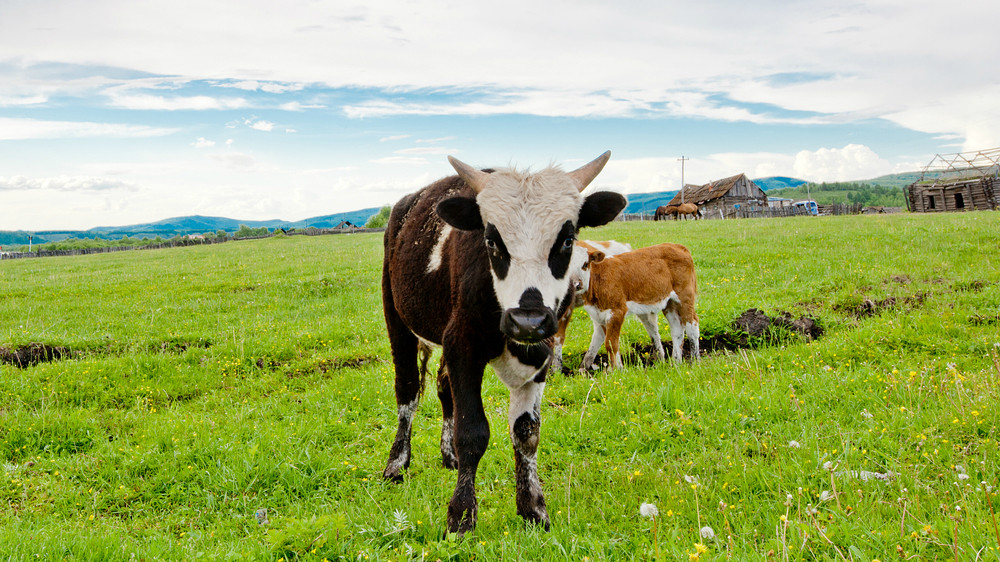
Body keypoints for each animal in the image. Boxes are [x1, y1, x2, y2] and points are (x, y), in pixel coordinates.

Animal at [380, 151, 624, 532]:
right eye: (492, 241)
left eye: (568, 239)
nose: (528, 320)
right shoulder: (463, 345)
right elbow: (472, 431)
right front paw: (461, 514)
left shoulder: (540, 354)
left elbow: (526, 432)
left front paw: (533, 508)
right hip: (398, 320)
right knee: (407, 391)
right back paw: (397, 463)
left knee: (443, 388)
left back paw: (447, 455)